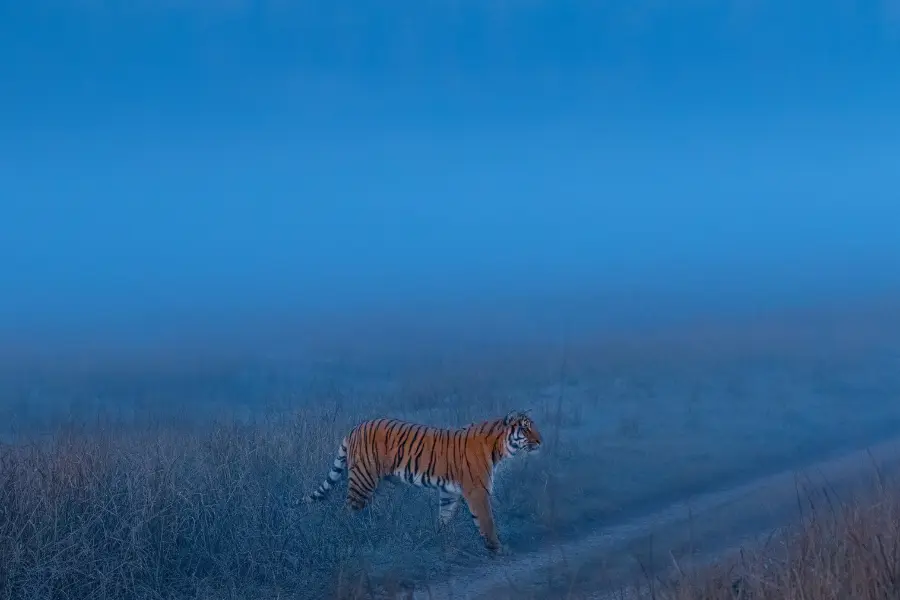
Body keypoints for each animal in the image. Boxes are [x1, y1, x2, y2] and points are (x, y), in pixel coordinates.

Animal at [301, 409, 542, 553]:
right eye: (525, 428)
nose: (540, 441)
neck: (498, 447)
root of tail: (356, 427)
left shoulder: (449, 492)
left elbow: (445, 517)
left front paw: (440, 540)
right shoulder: (477, 492)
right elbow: (486, 521)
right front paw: (497, 548)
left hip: (380, 484)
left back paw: (379, 531)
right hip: (363, 480)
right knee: (346, 511)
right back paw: (348, 536)